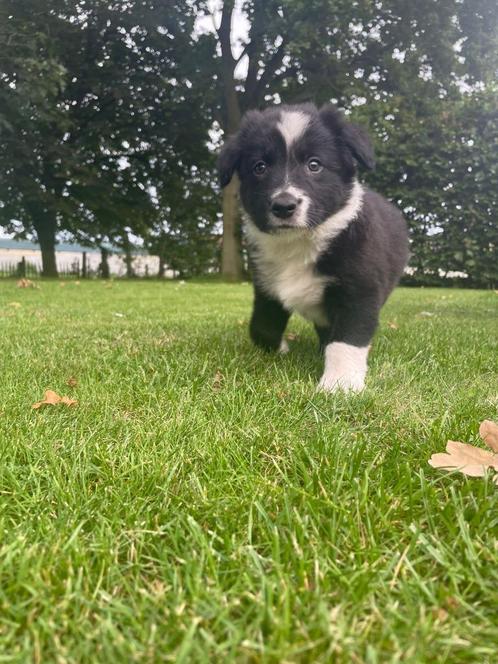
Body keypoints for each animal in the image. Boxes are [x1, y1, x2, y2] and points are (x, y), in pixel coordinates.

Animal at [219, 104, 408, 394]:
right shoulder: (267, 287)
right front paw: (281, 347)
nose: (284, 206)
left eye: (314, 165)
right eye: (259, 167)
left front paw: (340, 384)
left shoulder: (359, 291)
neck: (299, 242)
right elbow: (261, 327)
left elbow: (347, 340)